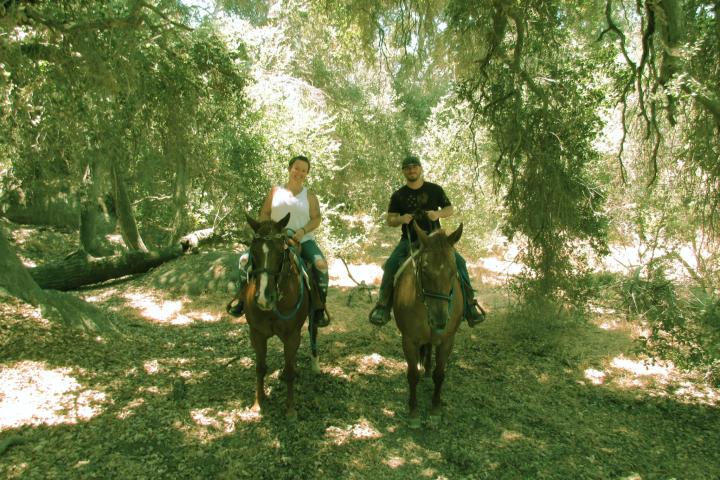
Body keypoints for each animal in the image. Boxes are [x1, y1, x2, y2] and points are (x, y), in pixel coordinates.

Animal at [243, 212, 316, 419]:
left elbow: (290, 371)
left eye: (280, 252)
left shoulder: (292, 335)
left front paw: (290, 409)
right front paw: (258, 403)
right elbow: (260, 368)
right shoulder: (257, 334)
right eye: (254, 250)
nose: (263, 297)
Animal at [393, 220, 464, 427]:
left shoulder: (447, 340)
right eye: (424, 270)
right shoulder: (409, 340)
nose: (439, 319)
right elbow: (412, 375)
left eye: (453, 270)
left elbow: (439, 374)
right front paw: (414, 412)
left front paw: (435, 410)